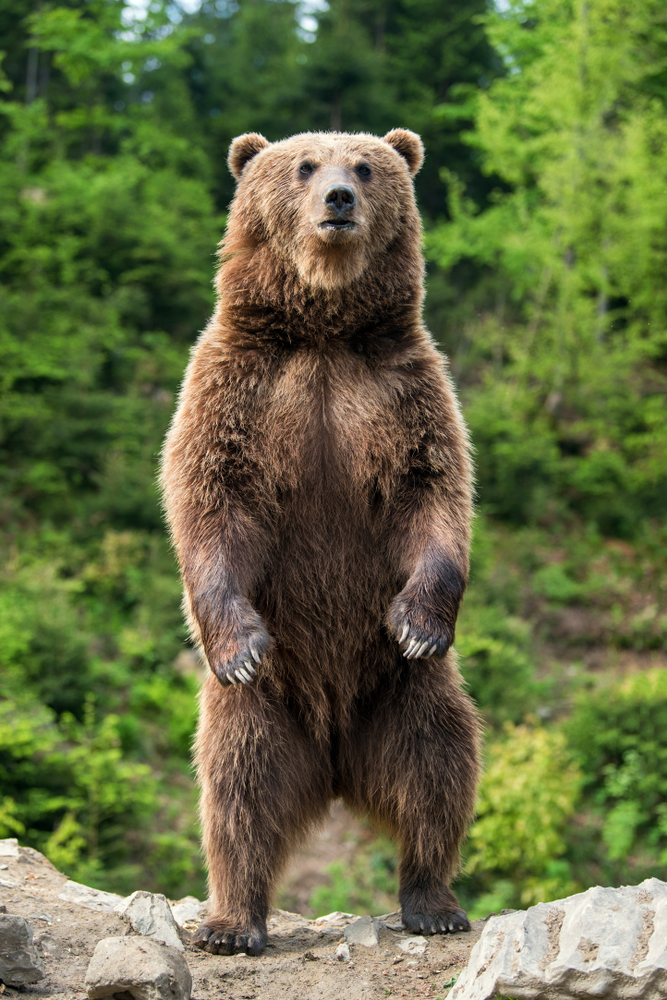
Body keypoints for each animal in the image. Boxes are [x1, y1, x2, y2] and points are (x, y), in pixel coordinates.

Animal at [160, 128, 480, 956]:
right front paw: (237, 642)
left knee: (438, 768)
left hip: (402, 692)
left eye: (365, 167)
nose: (338, 198)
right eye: (304, 166)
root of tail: (335, 765)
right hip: (265, 709)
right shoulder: (238, 388)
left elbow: (432, 494)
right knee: (237, 793)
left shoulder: (402, 390)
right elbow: (211, 499)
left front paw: (418, 621)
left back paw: (432, 901)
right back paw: (232, 922)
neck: (324, 331)